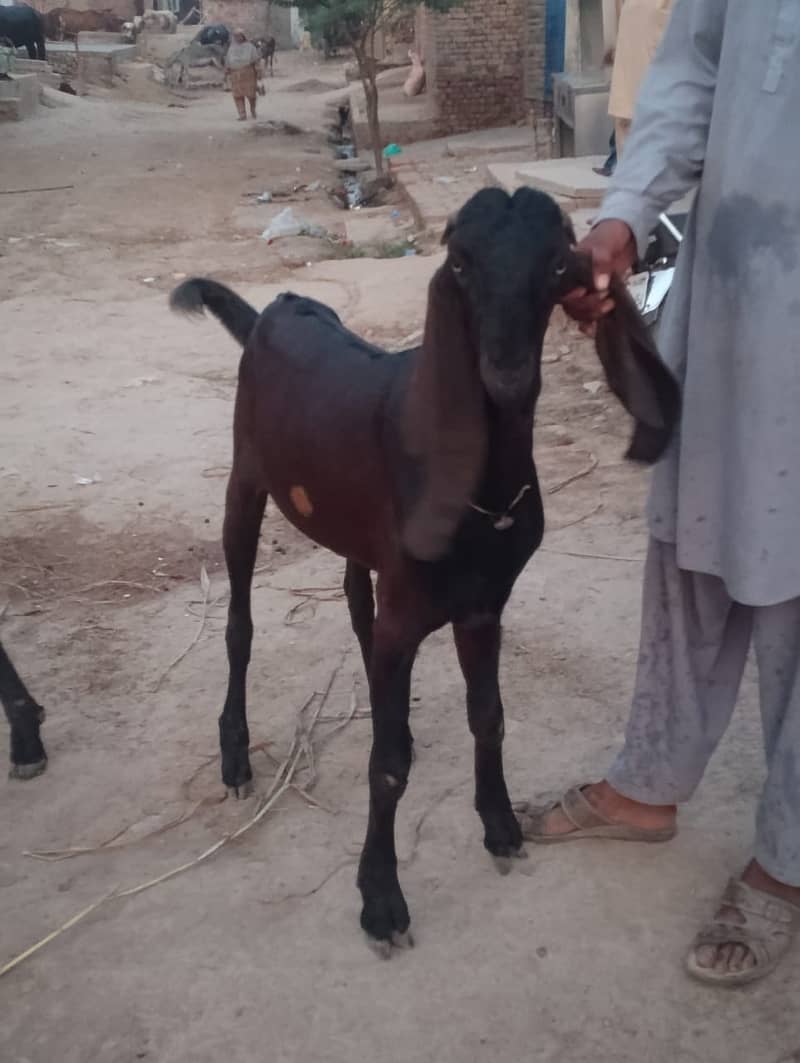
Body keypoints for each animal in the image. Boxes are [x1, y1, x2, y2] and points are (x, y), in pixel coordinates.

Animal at [170, 187, 680, 951]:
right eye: (460, 262)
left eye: (557, 263)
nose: (505, 376)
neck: (482, 497)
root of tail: (274, 310)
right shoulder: (412, 606)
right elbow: (386, 770)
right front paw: (381, 899)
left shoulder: (482, 606)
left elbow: (489, 716)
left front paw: (500, 825)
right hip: (246, 478)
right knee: (240, 622)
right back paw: (235, 755)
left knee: (356, 600)